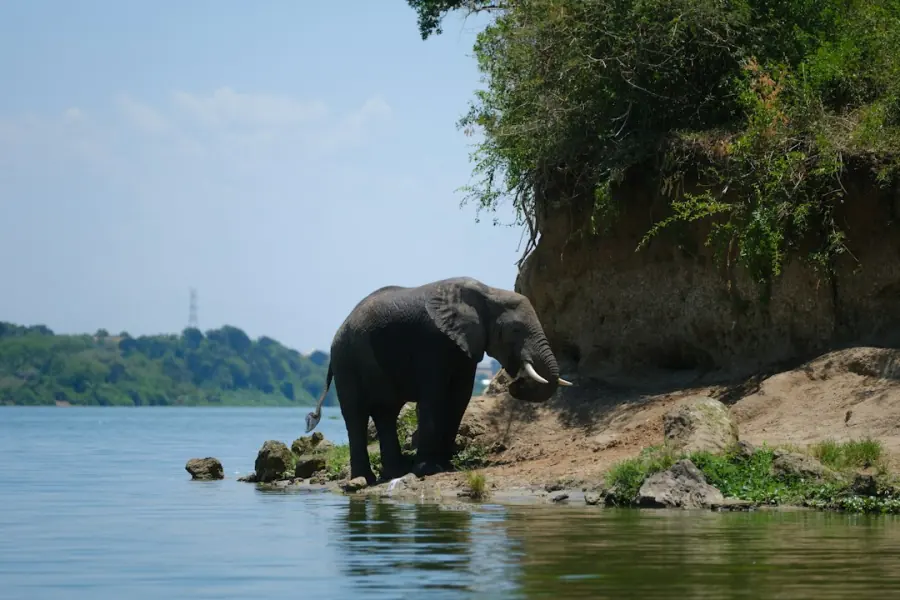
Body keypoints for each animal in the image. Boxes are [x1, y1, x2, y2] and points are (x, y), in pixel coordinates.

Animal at [304, 276, 572, 485]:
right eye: (515, 330)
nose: (515, 383)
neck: (487, 292)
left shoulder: (465, 345)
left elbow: (460, 396)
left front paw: (445, 465)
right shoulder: (432, 342)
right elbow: (434, 397)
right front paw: (428, 470)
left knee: (386, 412)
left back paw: (394, 473)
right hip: (346, 361)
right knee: (357, 415)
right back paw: (363, 479)